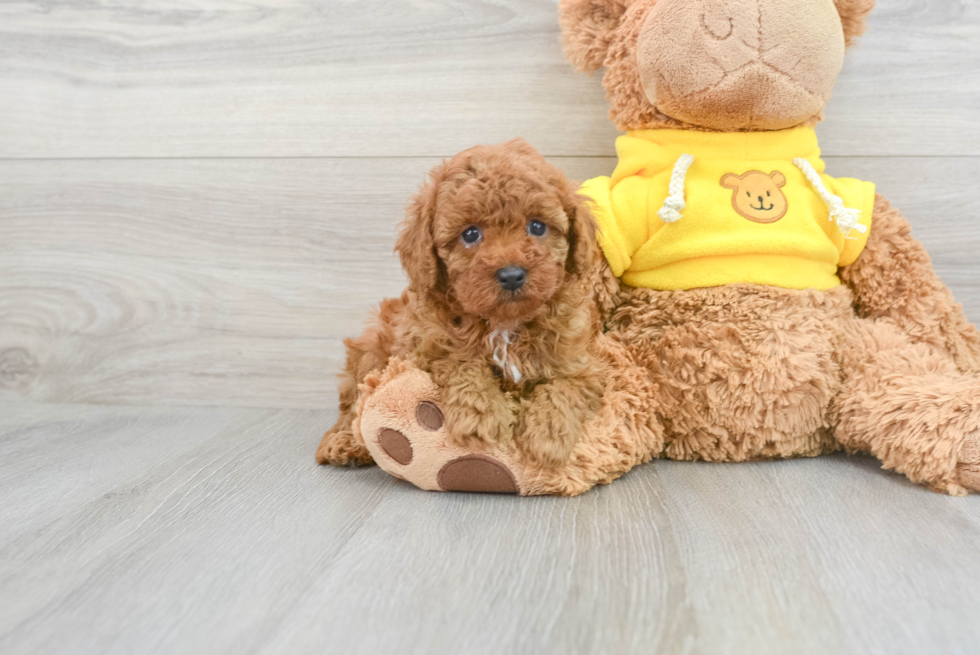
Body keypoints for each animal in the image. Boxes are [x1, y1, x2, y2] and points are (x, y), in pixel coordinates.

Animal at [318, 137, 616, 466]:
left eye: (537, 226)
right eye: (471, 234)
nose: (511, 275)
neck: (503, 323)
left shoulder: (581, 363)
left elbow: (565, 387)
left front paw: (547, 436)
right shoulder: (422, 347)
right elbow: (461, 362)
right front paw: (482, 416)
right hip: (371, 348)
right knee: (353, 405)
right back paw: (343, 442)